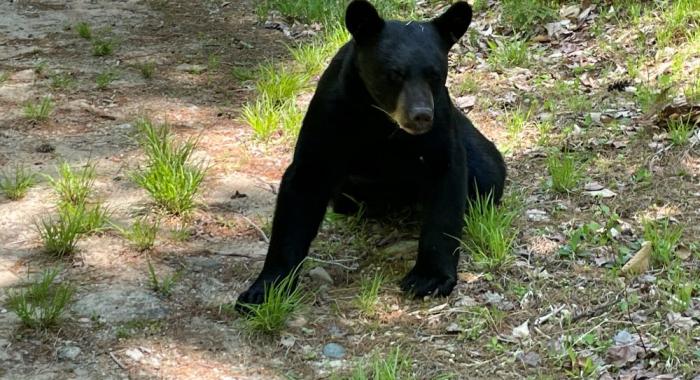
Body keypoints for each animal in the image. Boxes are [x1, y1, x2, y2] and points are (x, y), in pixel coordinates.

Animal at [235, 0, 504, 308]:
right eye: (394, 74)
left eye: (435, 74)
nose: (421, 115)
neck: (382, 121)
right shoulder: (330, 114)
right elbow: (303, 185)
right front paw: (263, 289)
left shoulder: (441, 126)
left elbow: (445, 184)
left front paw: (429, 278)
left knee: (487, 171)